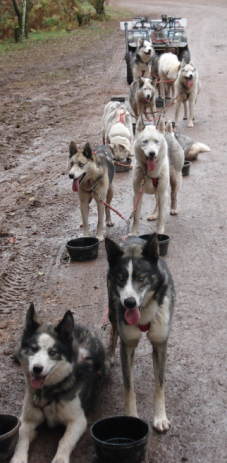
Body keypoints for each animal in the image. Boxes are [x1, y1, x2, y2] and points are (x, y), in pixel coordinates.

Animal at [10, 304, 106, 463]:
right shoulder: (27, 419)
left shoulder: (78, 421)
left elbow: (64, 441)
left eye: (53, 352)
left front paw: (60, 458)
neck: (49, 391)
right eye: (33, 349)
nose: (37, 369)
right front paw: (18, 458)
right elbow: (21, 437)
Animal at [105, 234, 176, 434]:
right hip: (112, 310)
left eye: (141, 278)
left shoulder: (160, 343)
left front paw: (160, 417)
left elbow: (159, 383)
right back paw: (109, 355)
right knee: (113, 330)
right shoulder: (128, 345)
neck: (143, 311)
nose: (129, 302)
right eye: (121, 278)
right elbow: (129, 387)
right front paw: (131, 417)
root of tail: (132, 237)